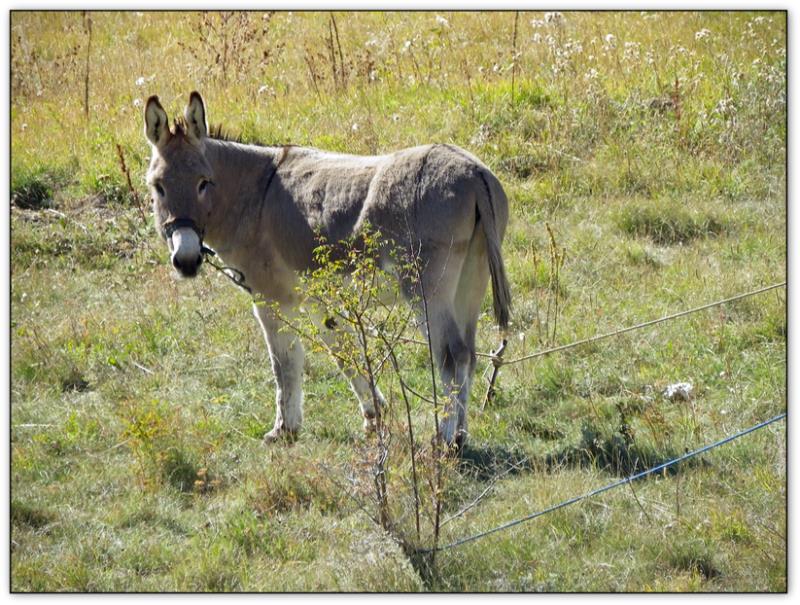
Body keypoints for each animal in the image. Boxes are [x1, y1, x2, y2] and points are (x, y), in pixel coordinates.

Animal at [143, 91, 511, 448]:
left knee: (451, 355)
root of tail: (472, 172)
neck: (253, 198)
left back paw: (444, 441)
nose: (186, 260)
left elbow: (285, 364)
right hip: (470, 279)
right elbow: (343, 352)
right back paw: (460, 436)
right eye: (158, 187)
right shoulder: (320, 300)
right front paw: (374, 417)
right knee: (468, 354)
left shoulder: (271, 299)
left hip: (426, 288)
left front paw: (284, 431)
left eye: (204, 183)